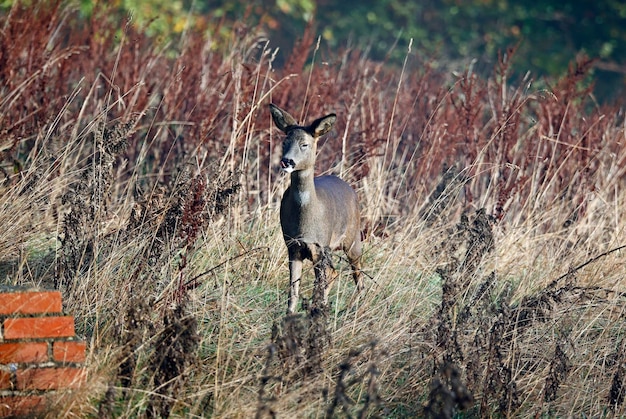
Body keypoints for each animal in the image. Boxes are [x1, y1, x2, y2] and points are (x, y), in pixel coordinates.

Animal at [268, 105, 360, 316]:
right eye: (285, 141)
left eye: (305, 144)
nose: (287, 161)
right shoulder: (292, 245)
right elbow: (293, 290)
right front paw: (290, 315)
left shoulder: (319, 246)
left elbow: (319, 284)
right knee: (334, 272)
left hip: (352, 238)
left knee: (356, 274)